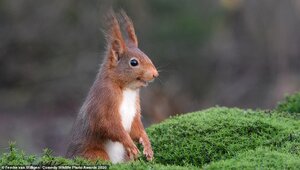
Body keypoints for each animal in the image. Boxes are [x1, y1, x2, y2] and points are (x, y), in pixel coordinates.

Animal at [66, 10, 159, 163]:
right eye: (134, 62)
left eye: (146, 55)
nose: (155, 74)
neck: (127, 90)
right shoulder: (104, 100)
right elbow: (108, 125)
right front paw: (130, 144)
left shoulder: (134, 112)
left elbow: (137, 128)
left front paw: (147, 146)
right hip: (95, 154)